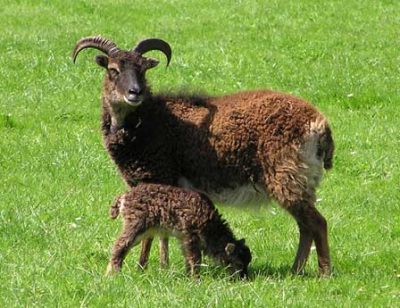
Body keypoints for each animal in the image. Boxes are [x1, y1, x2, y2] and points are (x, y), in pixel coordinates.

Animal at [104, 183, 252, 280]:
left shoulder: (183, 238)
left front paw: (187, 276)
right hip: (135, 225)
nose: (244, 278)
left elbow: (187, 256)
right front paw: (196, 279)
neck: (212, 227)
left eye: (248, 262)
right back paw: (114, 273)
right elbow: (195, 258)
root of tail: (124, 196)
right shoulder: (191, 235)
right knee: (120, 245)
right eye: (239, 264)